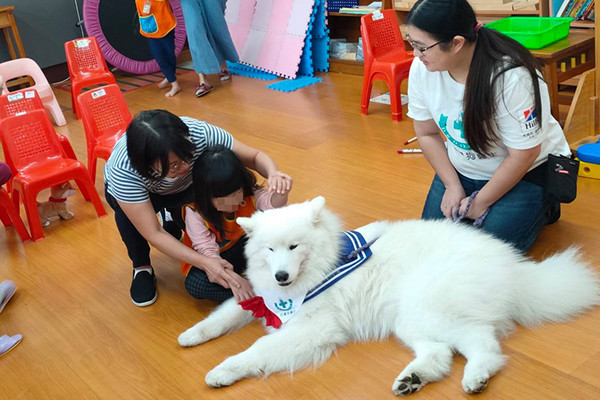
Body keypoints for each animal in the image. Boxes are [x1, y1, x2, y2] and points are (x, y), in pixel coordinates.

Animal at [178, 196, 600, 394]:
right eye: (269, 250)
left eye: (294, 247)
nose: (281, 277)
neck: (321, 267)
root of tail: (516, 269)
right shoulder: (260, 299)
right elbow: (223, 316)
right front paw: (191, 335)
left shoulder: (313, 328)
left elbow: (258, 350)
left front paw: (222, 370)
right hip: (411, 319)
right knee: (441, 354)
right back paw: (412, 379)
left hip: (427, 306)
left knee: (483, 345)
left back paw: (476, 377)